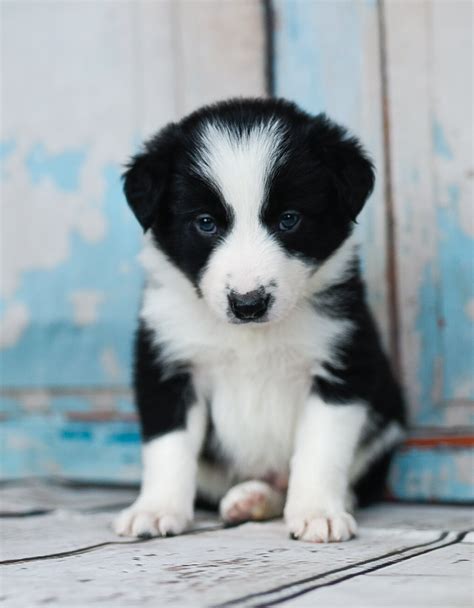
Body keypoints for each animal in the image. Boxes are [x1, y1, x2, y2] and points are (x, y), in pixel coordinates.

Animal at [114, 97, 404, 544]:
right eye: (205, 223)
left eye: (289, 219)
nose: (248, 304)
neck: (251, 336)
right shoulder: (167, 361)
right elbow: (168, 444)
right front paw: (156, 509)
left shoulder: (342, 362)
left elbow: (321, 447)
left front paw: (318, 512)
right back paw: (248, 499)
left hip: (386, 421)